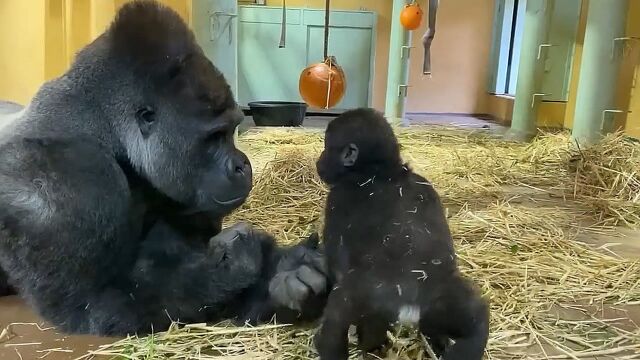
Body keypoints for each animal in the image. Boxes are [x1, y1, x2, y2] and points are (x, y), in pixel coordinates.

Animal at [0, 0, 330, 336]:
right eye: (214, 137)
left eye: (231, 130)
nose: (242, 165)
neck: (107, 131)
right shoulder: (61, 183)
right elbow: (95, 302)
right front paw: (233, 265)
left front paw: (285, 277)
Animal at [312, 109, 488, 360]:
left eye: (327, 147)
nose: (320, 162)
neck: (382, 171)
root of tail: (410, 307)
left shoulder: (337, 199)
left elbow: (335, 261)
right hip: (442, 302)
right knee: (477, 320)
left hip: (368, 298)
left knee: (337, 318)